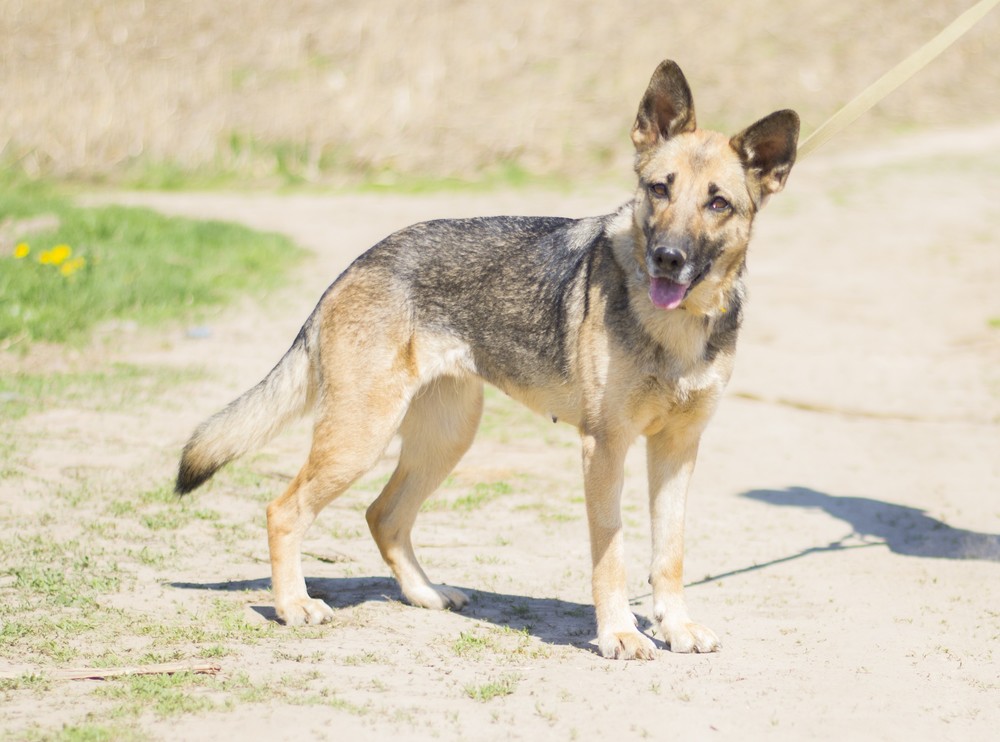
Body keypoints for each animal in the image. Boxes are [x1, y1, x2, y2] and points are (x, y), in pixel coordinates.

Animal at [174, 61, 796, 660]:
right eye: (660, 189)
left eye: (718, 203)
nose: (667, 259)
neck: (678, 324)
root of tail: (357, 264)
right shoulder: (606, 448)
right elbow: (611, 555)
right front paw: (620, 634)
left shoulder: (677, 450)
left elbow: (670, 554)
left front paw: (677, 627)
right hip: (361, 437)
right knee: (284, 510)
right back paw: (294, 605)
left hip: (446, 437)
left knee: (384, 514)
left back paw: (424, 594)